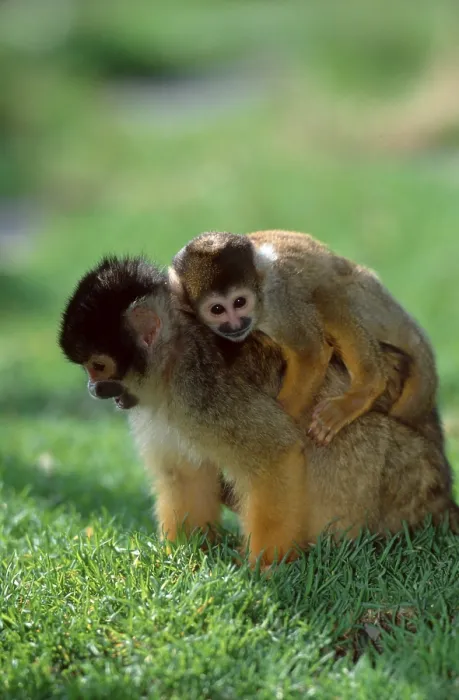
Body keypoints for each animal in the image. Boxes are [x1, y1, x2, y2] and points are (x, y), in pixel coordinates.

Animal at [59, 255, 458, 568]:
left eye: (98, 367)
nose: (93, 390)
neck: (171, 363)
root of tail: (441, 499)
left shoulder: (203, 390)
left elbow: (275, 455)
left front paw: (265, 567)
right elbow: (183, 474)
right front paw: (184, 555)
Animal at [169, 230, 438, 446]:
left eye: (239, 302)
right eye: (217, 309)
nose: (236, 324)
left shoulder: (280, 301)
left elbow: (310, 353)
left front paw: (278, 426)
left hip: (371, 305)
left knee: (327, 295)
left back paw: (363, 390)